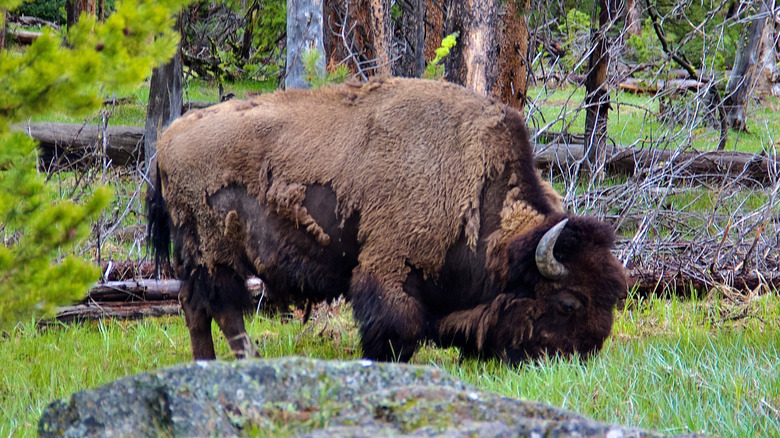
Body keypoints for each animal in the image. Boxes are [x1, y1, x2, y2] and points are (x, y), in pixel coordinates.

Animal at [148, 78, 628, 362]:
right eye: (568, 303)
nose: (582, 355)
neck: (472, 183)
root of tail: (167, 140)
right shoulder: (390, 268)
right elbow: (396, 326)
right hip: (216, 253)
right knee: (224, 308)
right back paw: (244, 362)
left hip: (197, 258)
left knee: (194, 305)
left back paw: (206, 365)